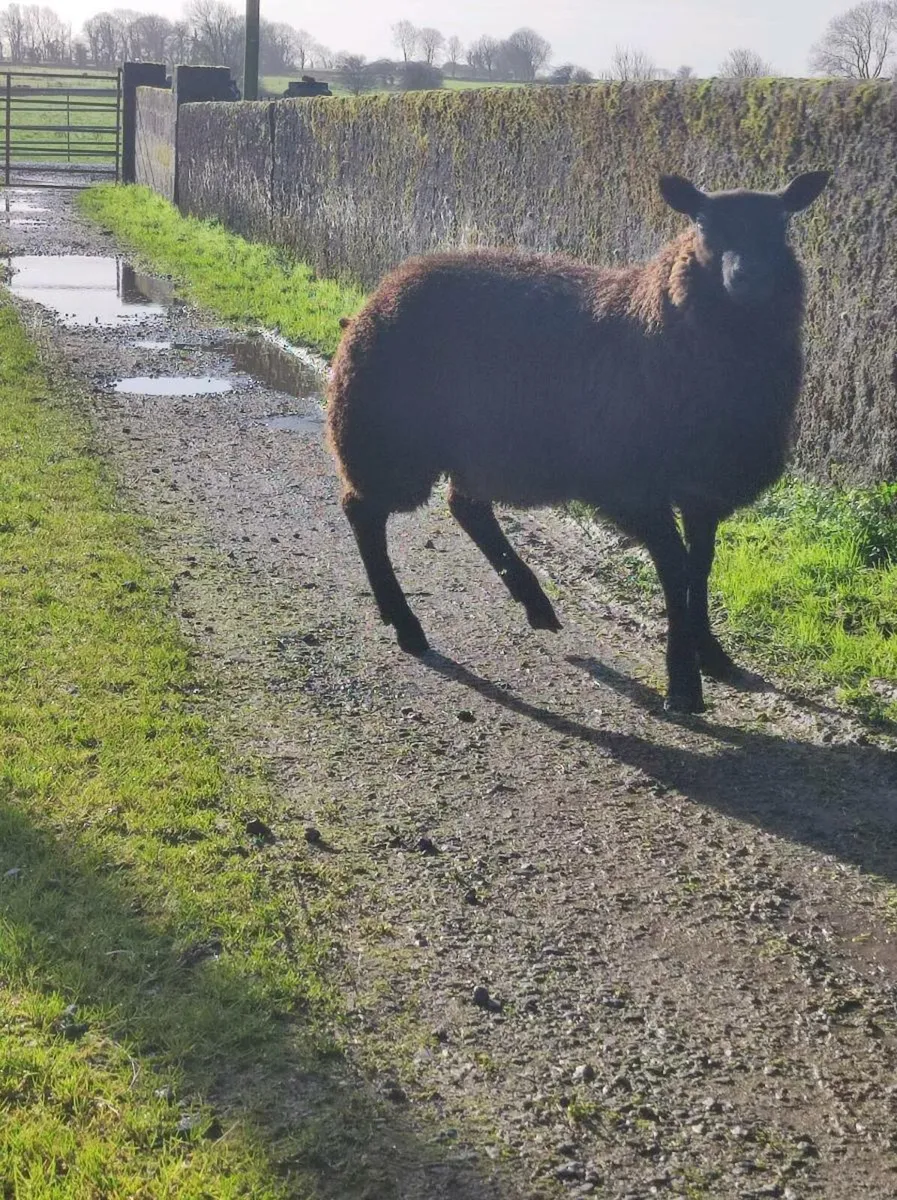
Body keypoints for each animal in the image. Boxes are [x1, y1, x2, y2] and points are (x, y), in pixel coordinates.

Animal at [325, 171, 830, 713]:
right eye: (703, 223)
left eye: (782, 223)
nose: (749, 277)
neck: (653, 322)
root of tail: (386, 286)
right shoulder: (632, 486)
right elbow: (675, 568)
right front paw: (683, 681)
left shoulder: (702, 489)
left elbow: (700, 568)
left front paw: (712, 655)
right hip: (385, 439)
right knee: (363, 510)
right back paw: (407, 625)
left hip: (479, 447)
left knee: (465, 505)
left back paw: (534, 602)